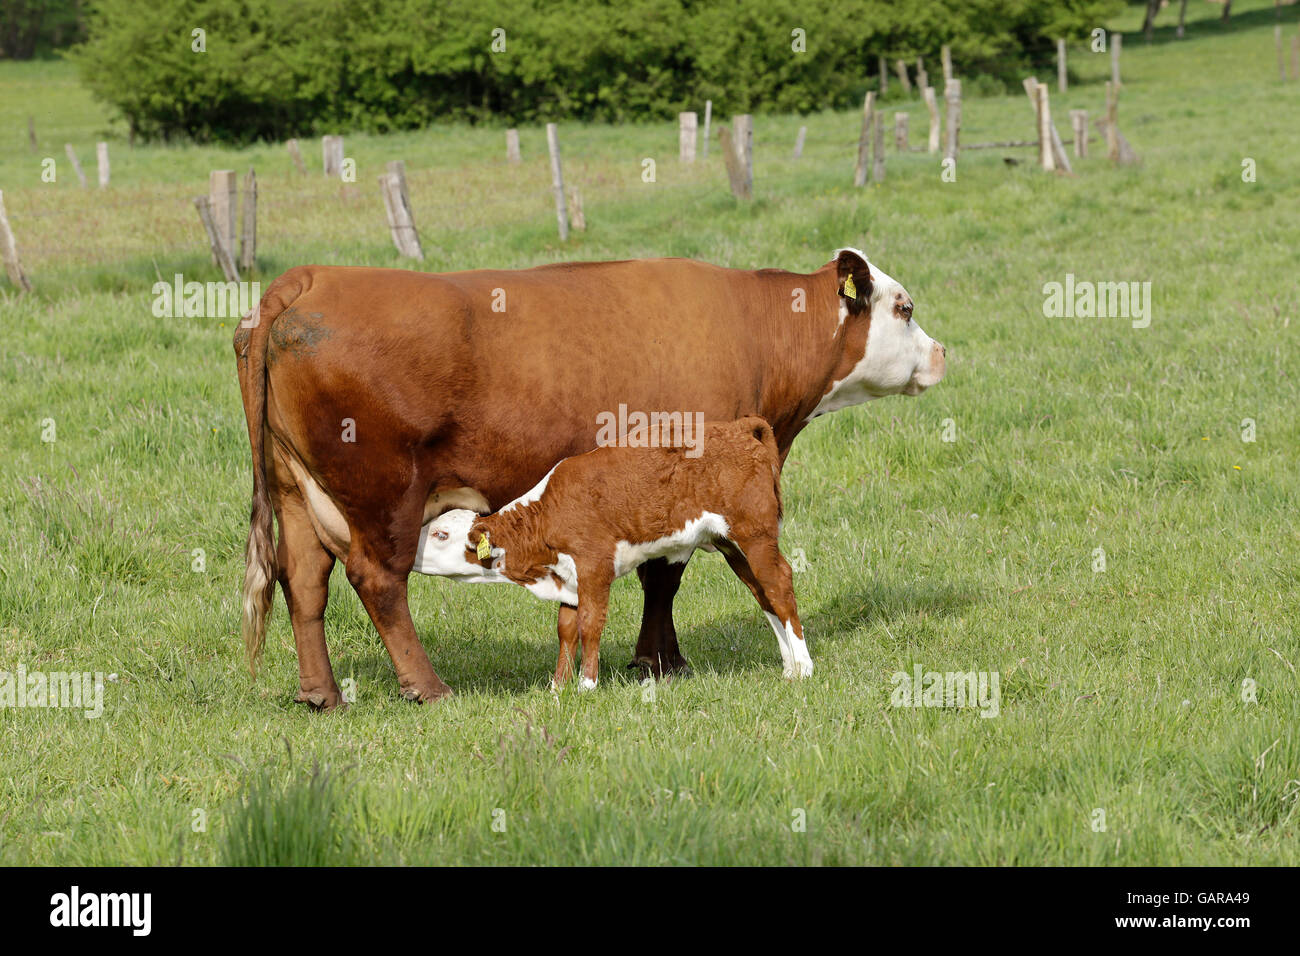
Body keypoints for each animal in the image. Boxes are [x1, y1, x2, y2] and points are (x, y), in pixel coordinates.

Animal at [415, 417, 809, 689]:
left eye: (440, 533)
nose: (411, 554)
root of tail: (739, 428)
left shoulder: (594, 567)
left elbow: (590, 624)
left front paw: (587, 684)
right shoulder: (568, 576)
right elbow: (566, 628)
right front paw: (558, 687)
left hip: (755, 534)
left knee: (779, 585)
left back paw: (804, 668)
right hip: (732, 544)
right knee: (762, 592)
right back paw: (789, 667)